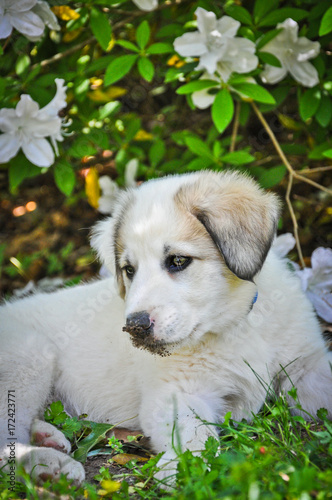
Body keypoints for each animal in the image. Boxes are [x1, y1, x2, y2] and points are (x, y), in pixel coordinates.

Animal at [0, 170, 332, 486]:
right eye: (129, 270)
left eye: (178, 261)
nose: (135, 327)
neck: (236, 324)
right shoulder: (177, 392)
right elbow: (195, 435)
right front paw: (186, 471)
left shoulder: (307, 365)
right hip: (28, 358)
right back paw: (49, 465)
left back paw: (48, 439)